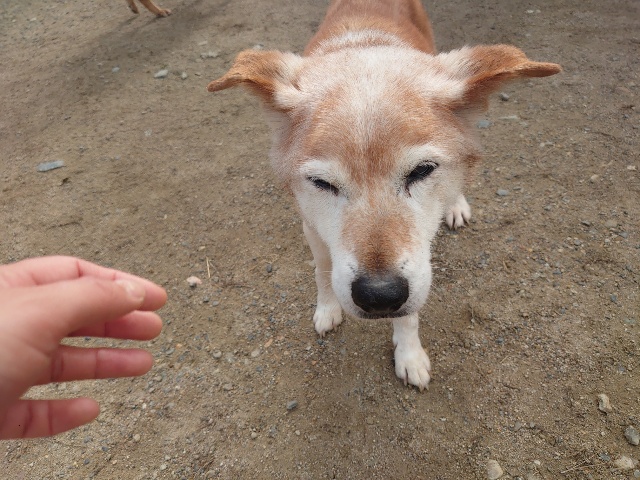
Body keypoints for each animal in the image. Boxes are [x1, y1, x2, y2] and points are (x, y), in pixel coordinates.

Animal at [207, 0, 560, 390]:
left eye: (422, 170)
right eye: (321, 183)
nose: (379, 296)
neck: (365, 46)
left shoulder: (416, 265)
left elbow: (409, 315)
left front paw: (409, 355)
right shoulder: (311, 226)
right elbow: (322, 270)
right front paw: (327, 309)